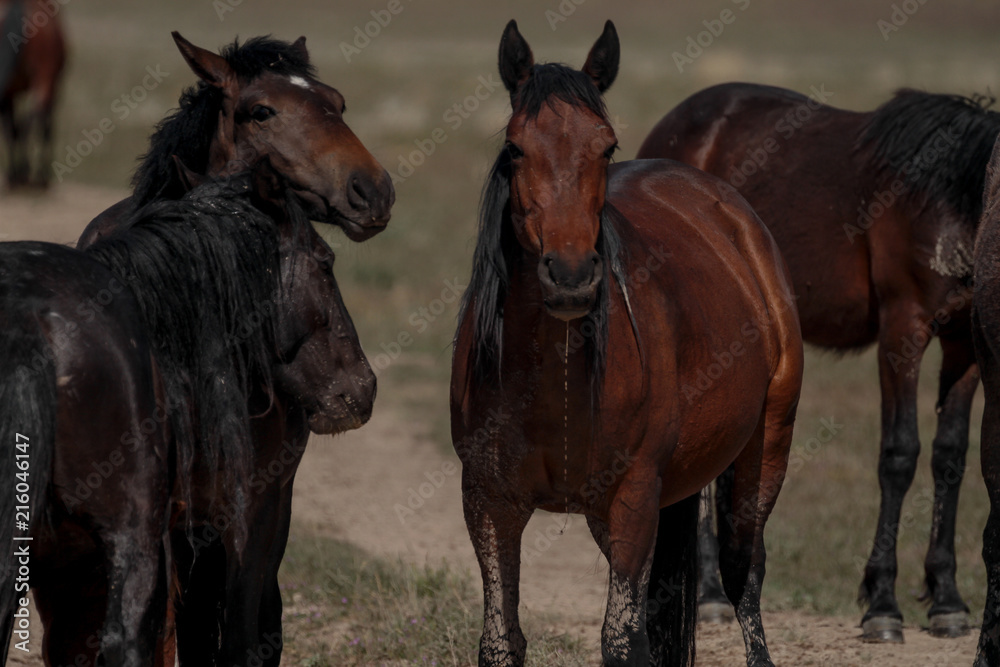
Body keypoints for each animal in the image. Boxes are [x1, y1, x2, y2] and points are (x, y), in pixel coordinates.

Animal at [0, 0, 66, 187]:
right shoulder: (54, 86)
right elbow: (46, 127)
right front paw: (43, 174)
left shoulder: (9, 92)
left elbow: (10, 128)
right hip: (44, 81)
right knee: (29, 123)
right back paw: (30, 173)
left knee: (15, 127)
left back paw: (18, 174)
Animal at [451, 21, 803, 667]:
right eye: (515, 149)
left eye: (607, 147)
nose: (570, 275)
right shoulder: (488, 499)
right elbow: (500, 640)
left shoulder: (634, 496)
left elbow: (621, 641)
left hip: (765, 448)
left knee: (744, 571)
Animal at [636, 82, 1000, 642]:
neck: (950, 196)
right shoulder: (904, 329)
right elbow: (899, 454)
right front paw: (883, 604)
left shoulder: (965, 347)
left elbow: (950, 457)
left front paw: (947, 599)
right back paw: (713, 597)